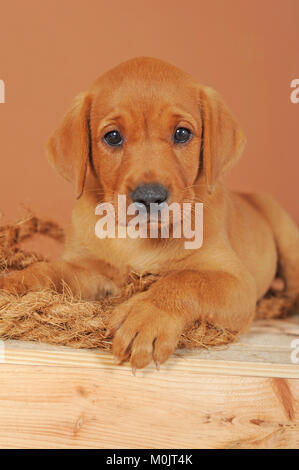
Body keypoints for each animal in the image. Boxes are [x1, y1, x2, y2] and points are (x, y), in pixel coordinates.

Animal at [0, 57, 299, 368]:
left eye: (182, 133)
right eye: (113, 137)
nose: (149, 197)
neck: (138, 238)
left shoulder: (235, 280)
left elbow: (186, 280)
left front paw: (147, 315)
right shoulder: (91, 270)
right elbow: (51, 271)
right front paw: (16, 283)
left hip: (286, 235)